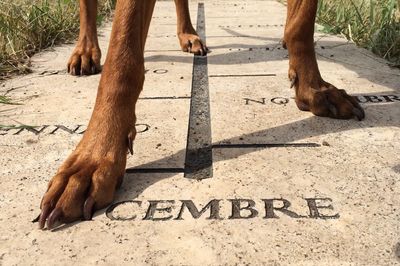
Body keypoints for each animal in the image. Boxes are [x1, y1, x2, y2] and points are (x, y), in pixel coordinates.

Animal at [38, 0, 366, 230]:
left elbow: (302, 23)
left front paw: (313, 87)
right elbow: (122, 55)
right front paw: (95, 155)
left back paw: (189, 35)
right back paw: (86, 50)